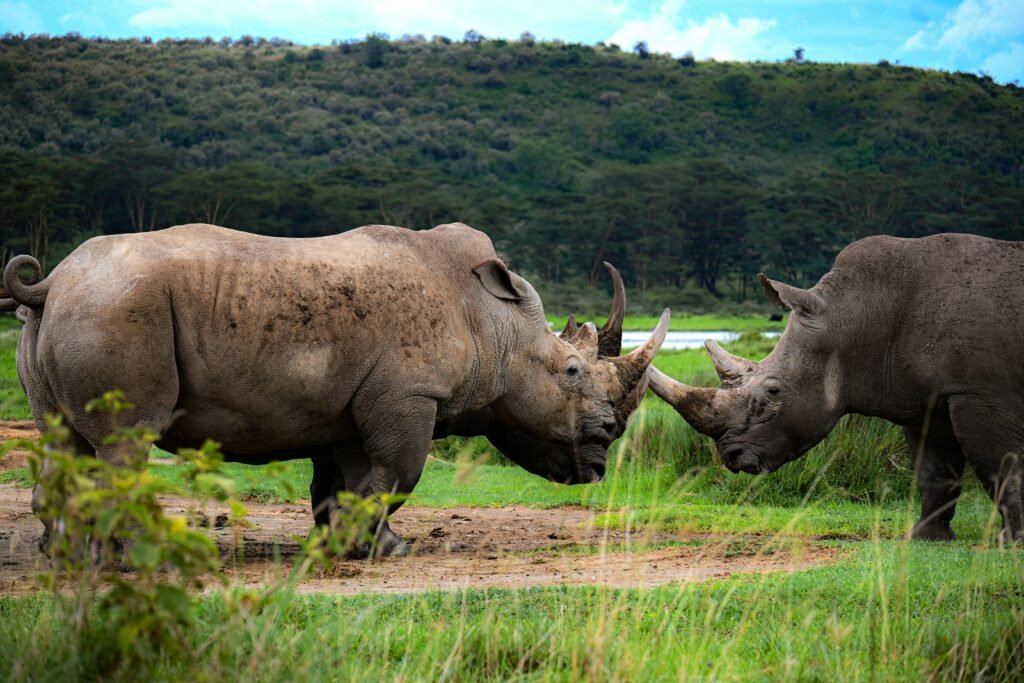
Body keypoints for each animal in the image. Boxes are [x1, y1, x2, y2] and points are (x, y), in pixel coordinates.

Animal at [4, 222, 668, 555]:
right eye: (572, 372)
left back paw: (70, 557)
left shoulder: (348, 403)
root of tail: (51, 281)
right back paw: (134, 556)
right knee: (126, 441)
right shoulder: (410, 394)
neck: (494, 321)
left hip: (73, 310)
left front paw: (351, 544)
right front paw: (381, 547)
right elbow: (399, 473)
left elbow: (344, 480)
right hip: (117, 307)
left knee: (61, 439)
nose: (606, 441)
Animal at [648, 233, 1024, 542]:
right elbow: (934, 470)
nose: (733, 457)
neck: (857, 316)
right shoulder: (928, 398)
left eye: (773, 392)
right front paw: (926, 538)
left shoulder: (980, 392)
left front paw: (1012, 542)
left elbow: (1001, 463)